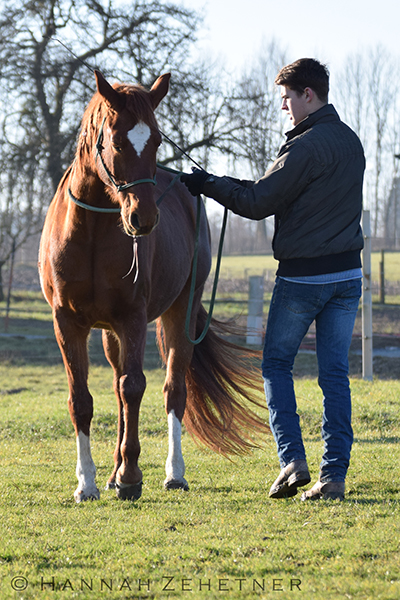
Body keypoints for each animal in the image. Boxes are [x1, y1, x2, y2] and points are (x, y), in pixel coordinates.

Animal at [39, 70, 268, 502]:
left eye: (157, 139)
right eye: (115, 140)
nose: (143, 218)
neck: (92, 232)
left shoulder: (132, 317)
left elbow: (134, 388)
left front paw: (131, 476)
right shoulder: (68, 323)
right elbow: (82, 399)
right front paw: (87, 482)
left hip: (178, 313)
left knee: (172, 390)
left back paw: (173, 473)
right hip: (109, 332)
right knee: (117, 390)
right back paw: (111, 474)